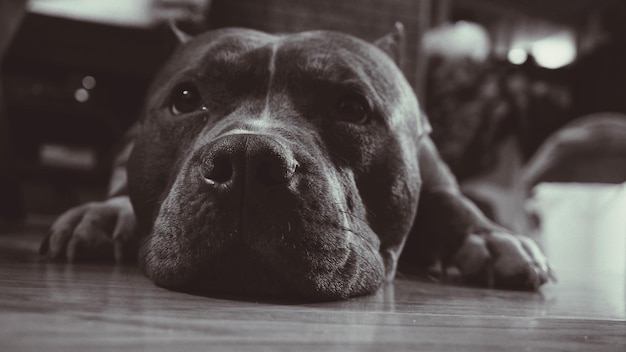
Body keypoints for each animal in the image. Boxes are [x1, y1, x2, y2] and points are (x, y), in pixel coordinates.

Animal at [39, 24, 548, 300]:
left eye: (352, 108)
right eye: (185, 99)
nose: (246, 158)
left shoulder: (436, 173)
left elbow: (455, 203)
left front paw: (492, 238)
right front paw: (108, 213)